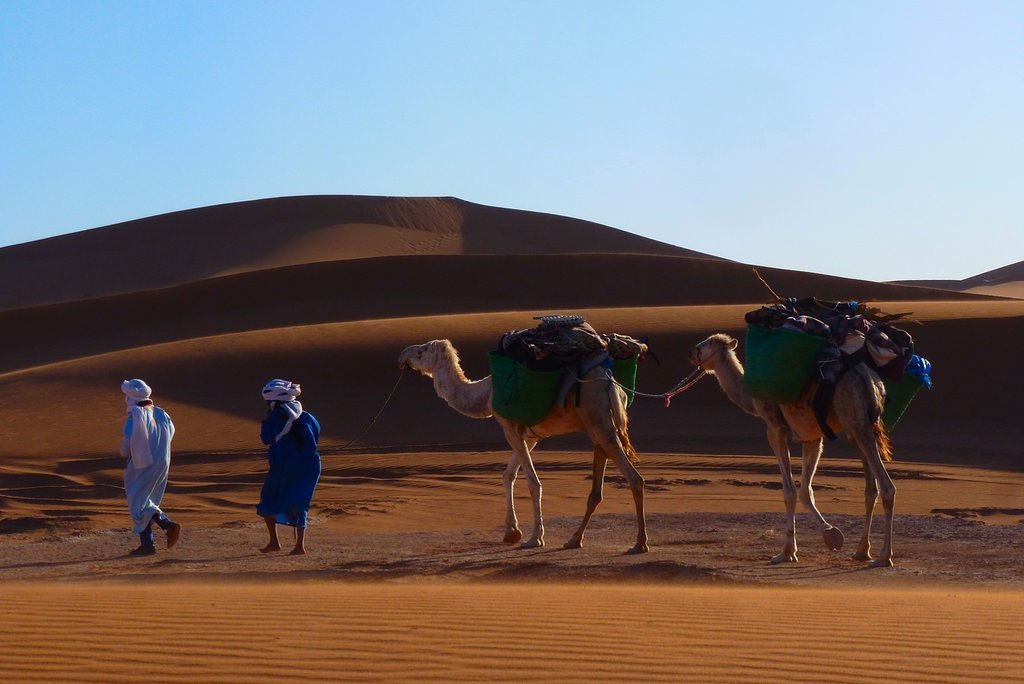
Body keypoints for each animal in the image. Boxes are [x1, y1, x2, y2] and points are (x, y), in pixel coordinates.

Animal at [397, 339, 647, 552]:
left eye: (421, 352)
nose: (402, 355)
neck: (486, 393)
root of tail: (612, 385)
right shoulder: (531, 435)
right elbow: (508, 475)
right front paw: (511, 532)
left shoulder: (509, 428)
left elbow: (533, 483)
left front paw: (534, 538)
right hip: (597, 424)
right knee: (597, 488)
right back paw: (574, 540)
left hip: (598, 417)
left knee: (634, 477)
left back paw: (639, 543)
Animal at [688, 331, 897, 565]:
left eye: (706, 344)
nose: (691, 353)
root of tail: (871, 381)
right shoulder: (811, 436)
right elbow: (806, 490)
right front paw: (830, 534)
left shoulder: (774, 428)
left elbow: (789, 491)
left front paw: (786, 552)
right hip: (863, 425)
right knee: (871, 489)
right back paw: (862, 551)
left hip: (856, 421)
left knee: (887, 487)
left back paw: (883, 556)